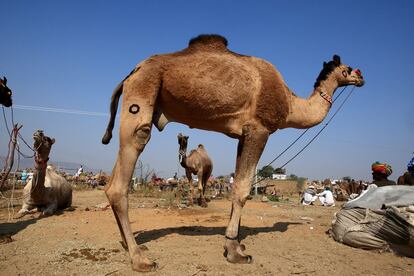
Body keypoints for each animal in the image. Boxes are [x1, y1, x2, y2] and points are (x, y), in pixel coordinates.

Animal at [102, 34, 364, 272]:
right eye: (347, 69)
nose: (361, 77)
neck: (291, 104)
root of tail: (130, 74)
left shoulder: (243, 135)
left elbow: (238, 183)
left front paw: (237, 244)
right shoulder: (259, 129)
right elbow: (242, 190)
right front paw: (234, 251)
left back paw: (133, 245)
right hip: (143, 91)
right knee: (126, 166)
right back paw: (140, 259)